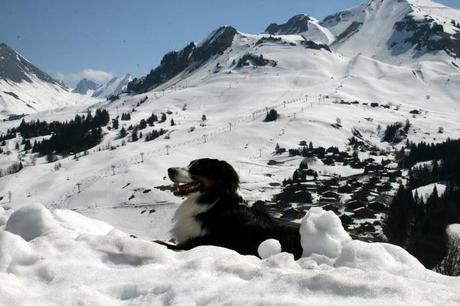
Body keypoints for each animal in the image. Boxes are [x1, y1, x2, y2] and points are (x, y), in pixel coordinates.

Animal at [160, 159, 304, 260]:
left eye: (198, 168)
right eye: (190, 164)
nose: (170, 170)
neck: (215, 203)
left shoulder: (195, 244)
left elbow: (160, 243)